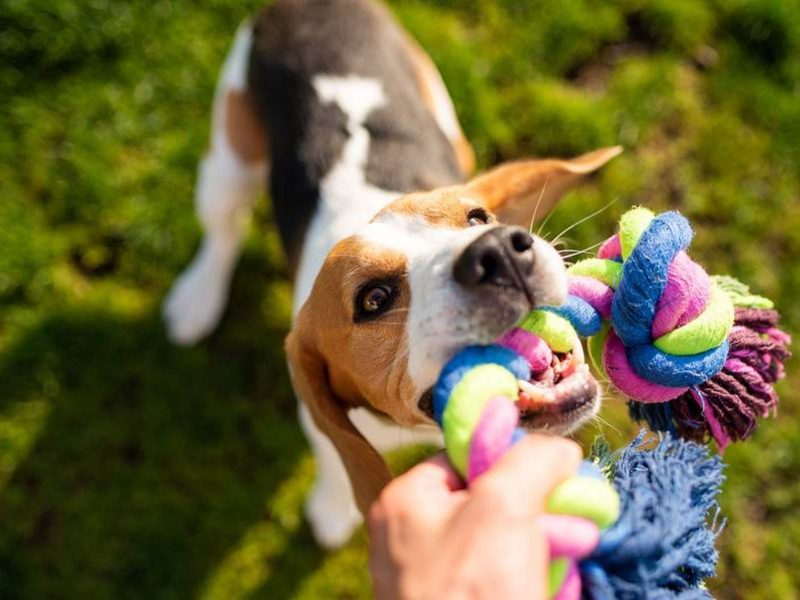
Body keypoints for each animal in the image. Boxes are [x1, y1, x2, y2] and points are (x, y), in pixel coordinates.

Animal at [166, 0, 620, 548]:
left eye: (478, 219)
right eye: (374, 299)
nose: (499, 252)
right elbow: (335, 459)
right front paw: (334, 508)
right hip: (229, 158)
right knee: (223, 229)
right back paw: (197, 298)